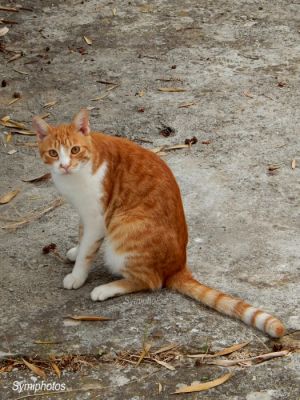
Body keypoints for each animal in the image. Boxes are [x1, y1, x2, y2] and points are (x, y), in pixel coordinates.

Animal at [32, 109, 286, 338]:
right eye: (53, 153)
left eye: (75, 150)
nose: (64, 166)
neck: (76, 175)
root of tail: (179, 266)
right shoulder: (84, 214)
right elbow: (81, 235)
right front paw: (75, 251)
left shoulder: (97, 218)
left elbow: (87, 251)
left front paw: (77, 275)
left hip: (123, 232)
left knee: (151, 281)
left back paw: (106, 289)